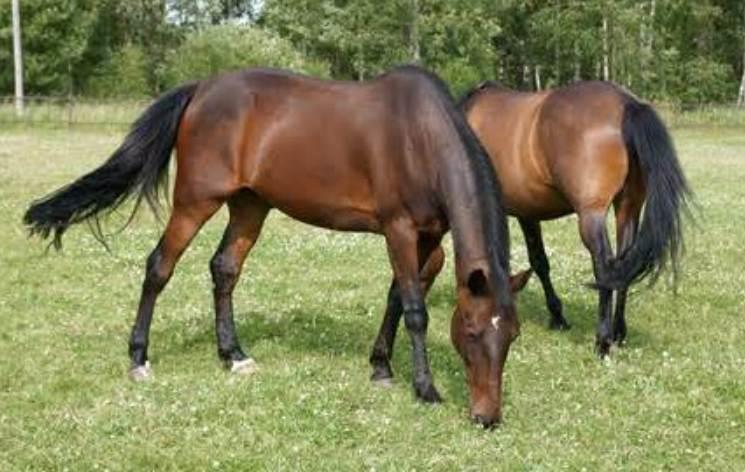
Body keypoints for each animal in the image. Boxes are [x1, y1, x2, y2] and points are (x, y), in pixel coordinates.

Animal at [24, 66, 527, 428]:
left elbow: (396, 300)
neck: (420, 137)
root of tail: (201, 89)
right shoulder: (399, 229)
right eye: (472, 333)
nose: (487, 417)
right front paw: (424, 388)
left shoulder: (428, 235)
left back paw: (233, 356)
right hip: (195, 201)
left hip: (251, 205)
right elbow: (416, 311)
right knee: (159, 266)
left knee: (223, 269)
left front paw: (381, 367)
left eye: (512, 335)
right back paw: (138, 358)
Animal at [368, 80, 690, 370]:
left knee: (605, 267)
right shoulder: (528, 212)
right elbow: (541, 262)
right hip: (628, 207)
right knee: (625, 263)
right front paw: (557, 317)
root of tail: (626, 105)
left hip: (591, 215)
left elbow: (534, 260)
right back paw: (619, 331)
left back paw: (602, 341)